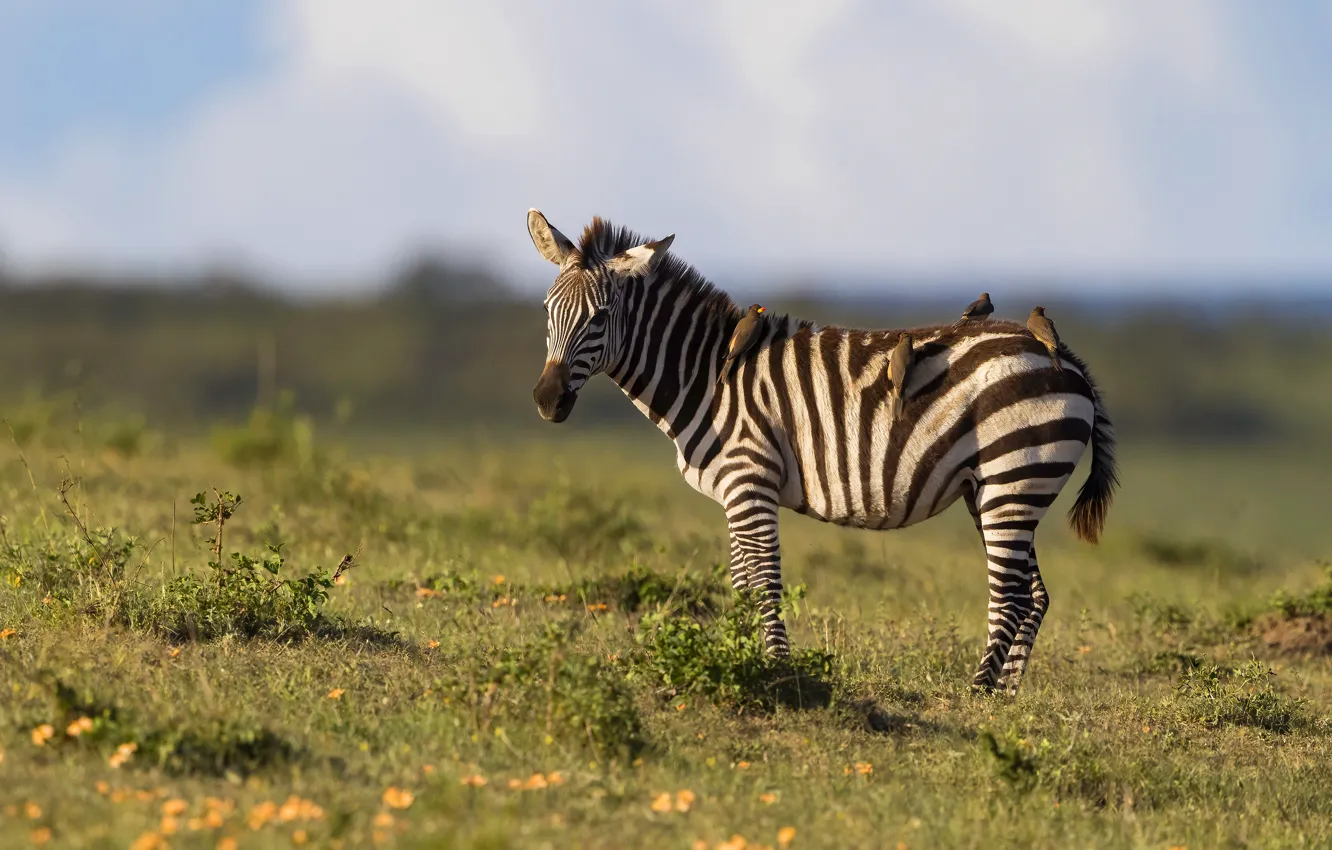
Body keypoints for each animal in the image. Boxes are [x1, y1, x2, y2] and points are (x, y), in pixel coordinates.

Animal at [526, 209, 1118, 693]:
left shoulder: (750, 482)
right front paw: (744, 659)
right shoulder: (732, 493)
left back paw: (977, 692)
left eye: (600, 317)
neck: (706, 374)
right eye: (547, 310)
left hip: (1014, 479)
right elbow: (742, 585)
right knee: (1034, 594)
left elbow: (764, 584)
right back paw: (1004, 698)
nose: (547, 401)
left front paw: (777, 672)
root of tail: (1060, 354)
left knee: (1012, 594)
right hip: (1000, 489)